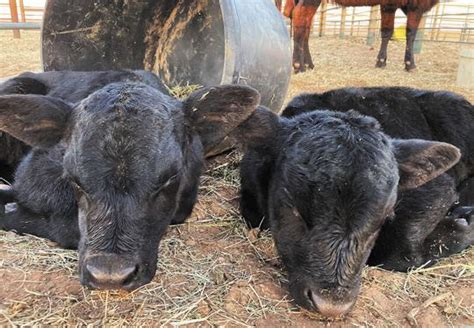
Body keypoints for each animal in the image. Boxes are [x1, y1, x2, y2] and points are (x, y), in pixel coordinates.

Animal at [243, 86, 472, 316]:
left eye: (382, 220)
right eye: (295, 210)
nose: (331, 305)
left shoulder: (438, 190)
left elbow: (405, 249)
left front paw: (462, 228)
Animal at [280, 0, 438, 72]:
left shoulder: (390, 4)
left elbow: (387, 32)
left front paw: (381, 61)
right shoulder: (414, 5)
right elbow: (410, 33)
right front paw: (410, 64)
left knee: (305, 26)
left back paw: (308, 63)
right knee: (299, 16)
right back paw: (299, 65)